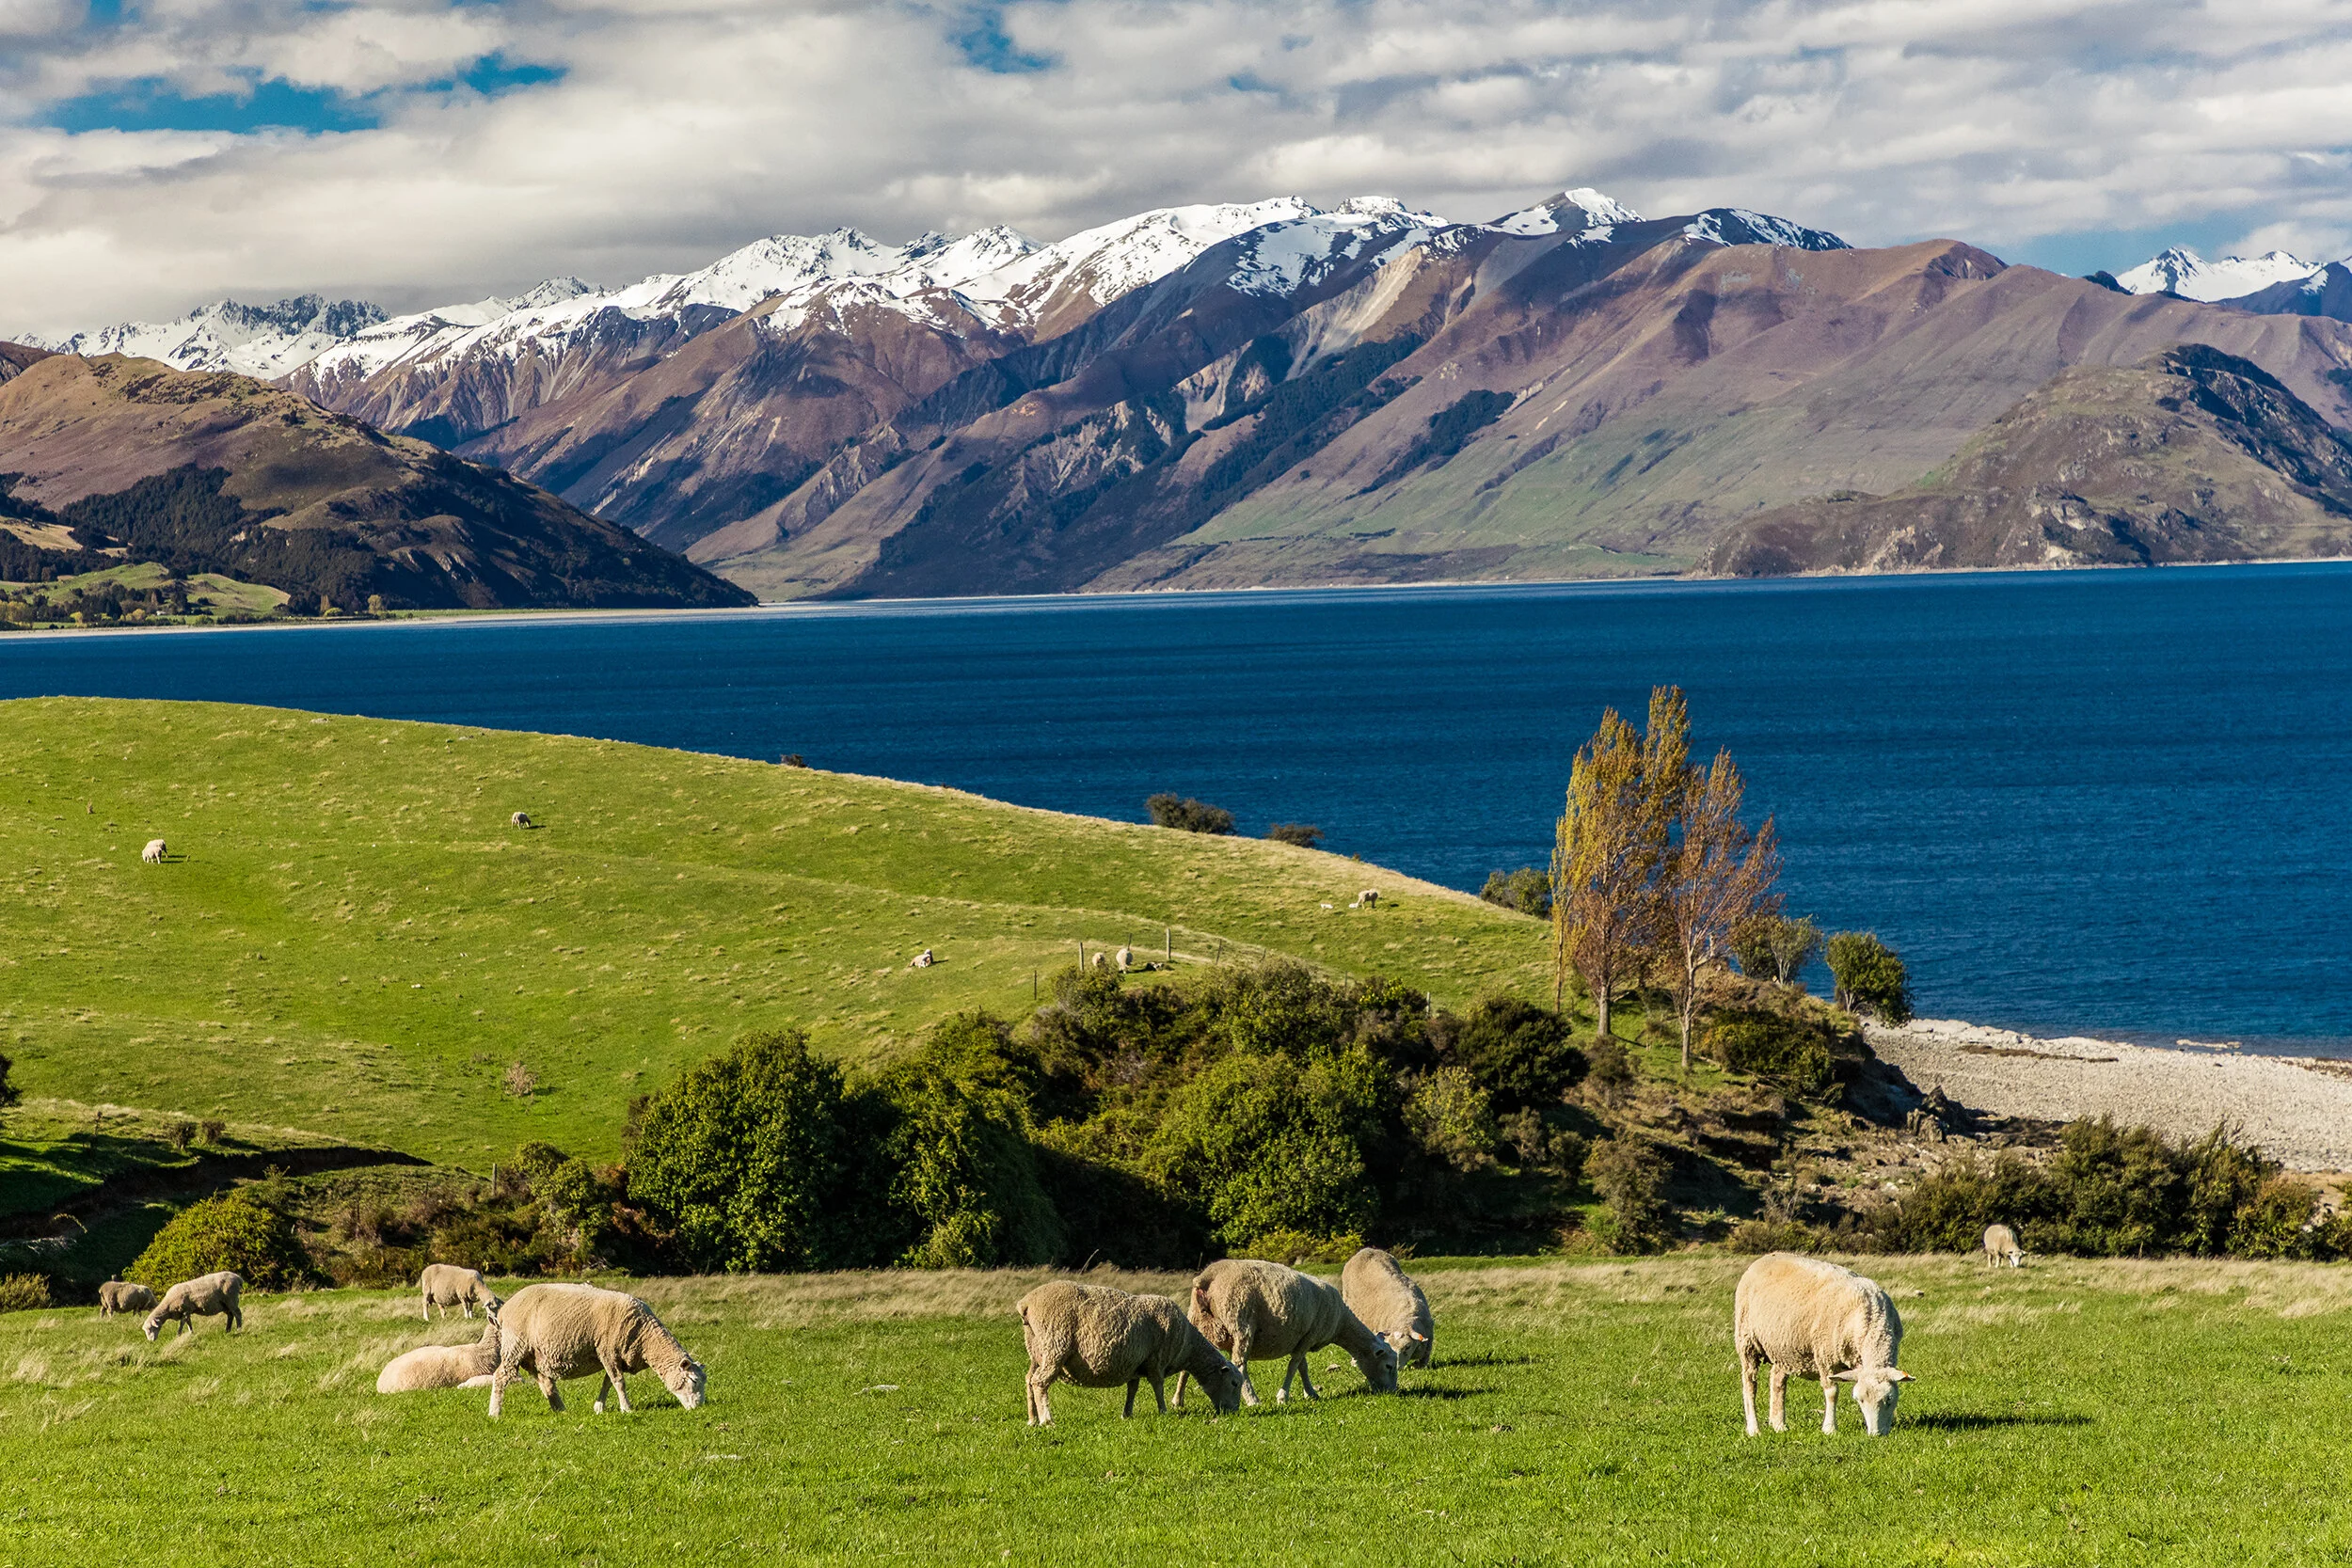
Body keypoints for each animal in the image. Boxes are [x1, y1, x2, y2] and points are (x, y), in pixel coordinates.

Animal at [487, 1282, 704, 1418]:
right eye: (693, 1380)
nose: (699, 1408)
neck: (645, 1337)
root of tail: (505, 1310)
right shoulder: (607, 1350)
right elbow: (619, 1383)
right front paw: (627, 1408)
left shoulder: (614, 1356)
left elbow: (608, 1383)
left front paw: (599, 1407)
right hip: (515, 1346)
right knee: (501, 1376)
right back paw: (494, 1412)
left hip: (533, 1355)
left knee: (545, 1382)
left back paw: (561, 1410)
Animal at [1017, 1279, 1244, 1425]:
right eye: (1234, 1383)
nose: (1234, 1412)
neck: (1187, 1345)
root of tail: (1026, 1303)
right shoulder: (1156, 1360)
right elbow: (1158, 1387)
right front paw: (1163, 1411)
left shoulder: (1134, 1363)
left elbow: (1132, 1389)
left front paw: (1127, 1414)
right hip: (1055, 1344)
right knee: (1040, 1382)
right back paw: (1047, 1420)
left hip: (1037, 1350)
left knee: (1029, 1380)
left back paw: (1032, 1419)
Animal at [1176, 1258, 1399, 1407]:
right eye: (1388, 1365)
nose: (1393, 1392)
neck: (1340, 1322)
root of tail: (1207, 1278)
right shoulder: (1310, 1335)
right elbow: (1293, 1366)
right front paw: (1283, 1396)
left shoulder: (1302, 1338)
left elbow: (1303, 1367)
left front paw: (1310, 1393)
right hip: (1240, 1320)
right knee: (1240, 1364)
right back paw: (1252, 1399)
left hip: (1196, 1320)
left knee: (1187, 1362)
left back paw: (1178, 1400)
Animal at [1339, 1247, 1433, 1368]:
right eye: (1390, 1347)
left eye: (1407, 1347)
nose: (1396, 1367)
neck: (1407, 1315)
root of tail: (1365, 1250)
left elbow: (1426, 1355)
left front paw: (1419, 1365)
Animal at [1733, 1252, 1913, 1437]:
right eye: (1859, 1400)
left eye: (1889, 1399)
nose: (1876, 1434)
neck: (1871, 1318)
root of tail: (1765, 1257)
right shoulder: (1825, 1355)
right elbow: (1832, 1392)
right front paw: (1829, 1428)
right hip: (1746, 1340)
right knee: (1749, 1384)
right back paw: (1754, 1429)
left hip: (1783, 1349)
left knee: (1777, 1381)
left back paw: (1778, 1425)